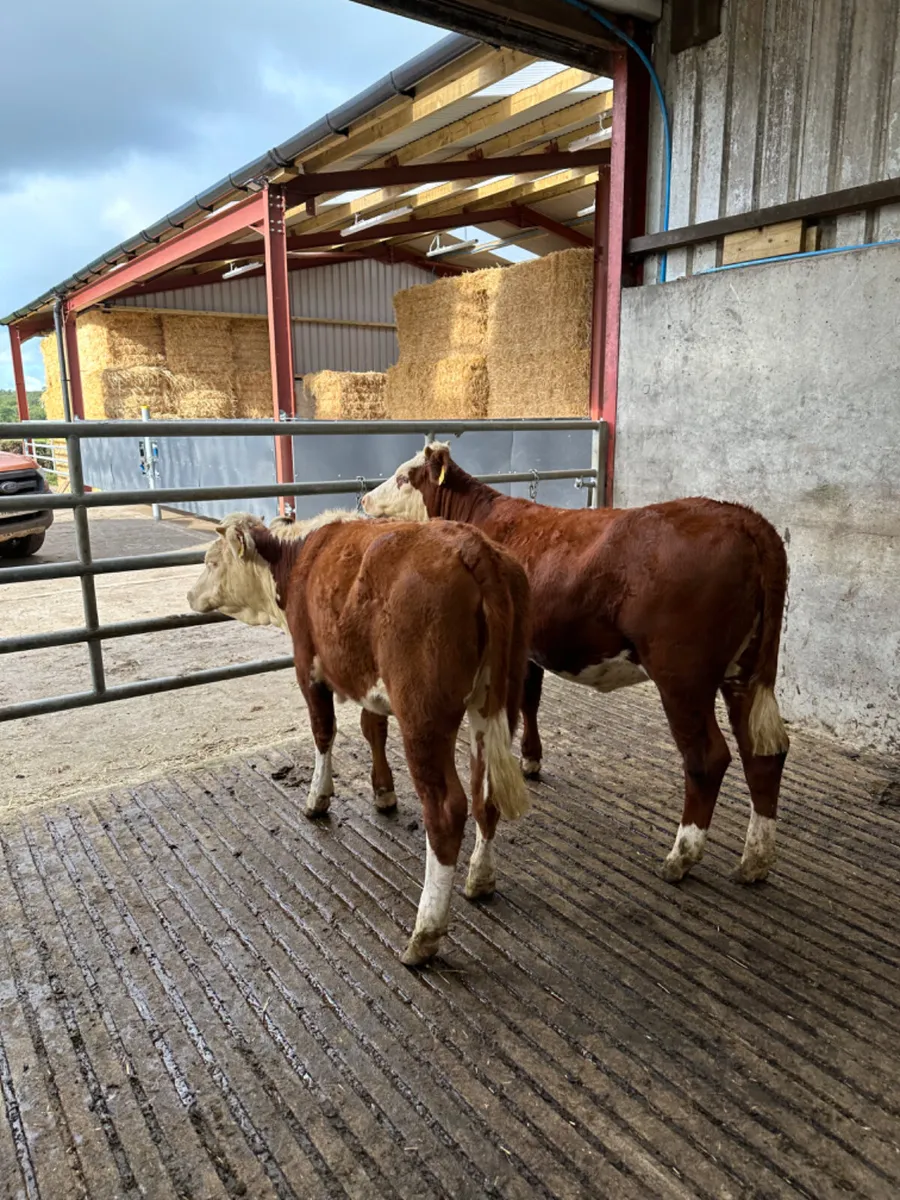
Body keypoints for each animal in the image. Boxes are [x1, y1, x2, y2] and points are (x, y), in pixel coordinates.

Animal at [187, 509, 531, 965]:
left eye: (211, 561)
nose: (189, 595)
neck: (297, 557)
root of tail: (473, 545)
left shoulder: (307, 665)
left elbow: (323, 731)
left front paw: (317, 798)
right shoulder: (367, 678)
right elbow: (372, 728)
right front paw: (383, 792)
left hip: (423, 715)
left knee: (446, 809)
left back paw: (424, 935)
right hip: (498, 701)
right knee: (485, 792)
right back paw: (480, 879)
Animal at [363, 443, 790, 886]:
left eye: (404, 476)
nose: (363, 500)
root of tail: (741, 516)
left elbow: (524, 701)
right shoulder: (529, 649)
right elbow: (531, 701)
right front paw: (532, 759)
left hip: (683, 675)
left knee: (707, 758)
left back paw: (682, 857)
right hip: (745, 669)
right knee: (763, 752)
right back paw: (756, 860)